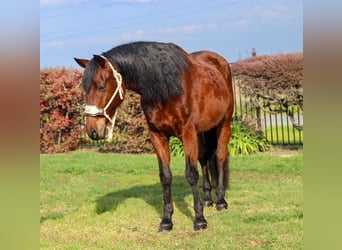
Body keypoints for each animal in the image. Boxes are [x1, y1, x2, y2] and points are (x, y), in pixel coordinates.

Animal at [74, 40, 235, 230]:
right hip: (202, 130)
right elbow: (165, 176)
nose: (92, 130)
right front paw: (166, 220)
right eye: (85, 89)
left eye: (101, 86)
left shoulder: (187, 133)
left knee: (219, 157)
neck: (167, 87)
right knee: (204, 158)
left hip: (224, 123)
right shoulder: (158, 136)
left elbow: (191, 174)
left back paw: (221, 201)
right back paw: (208, 199)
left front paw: (199, 219)